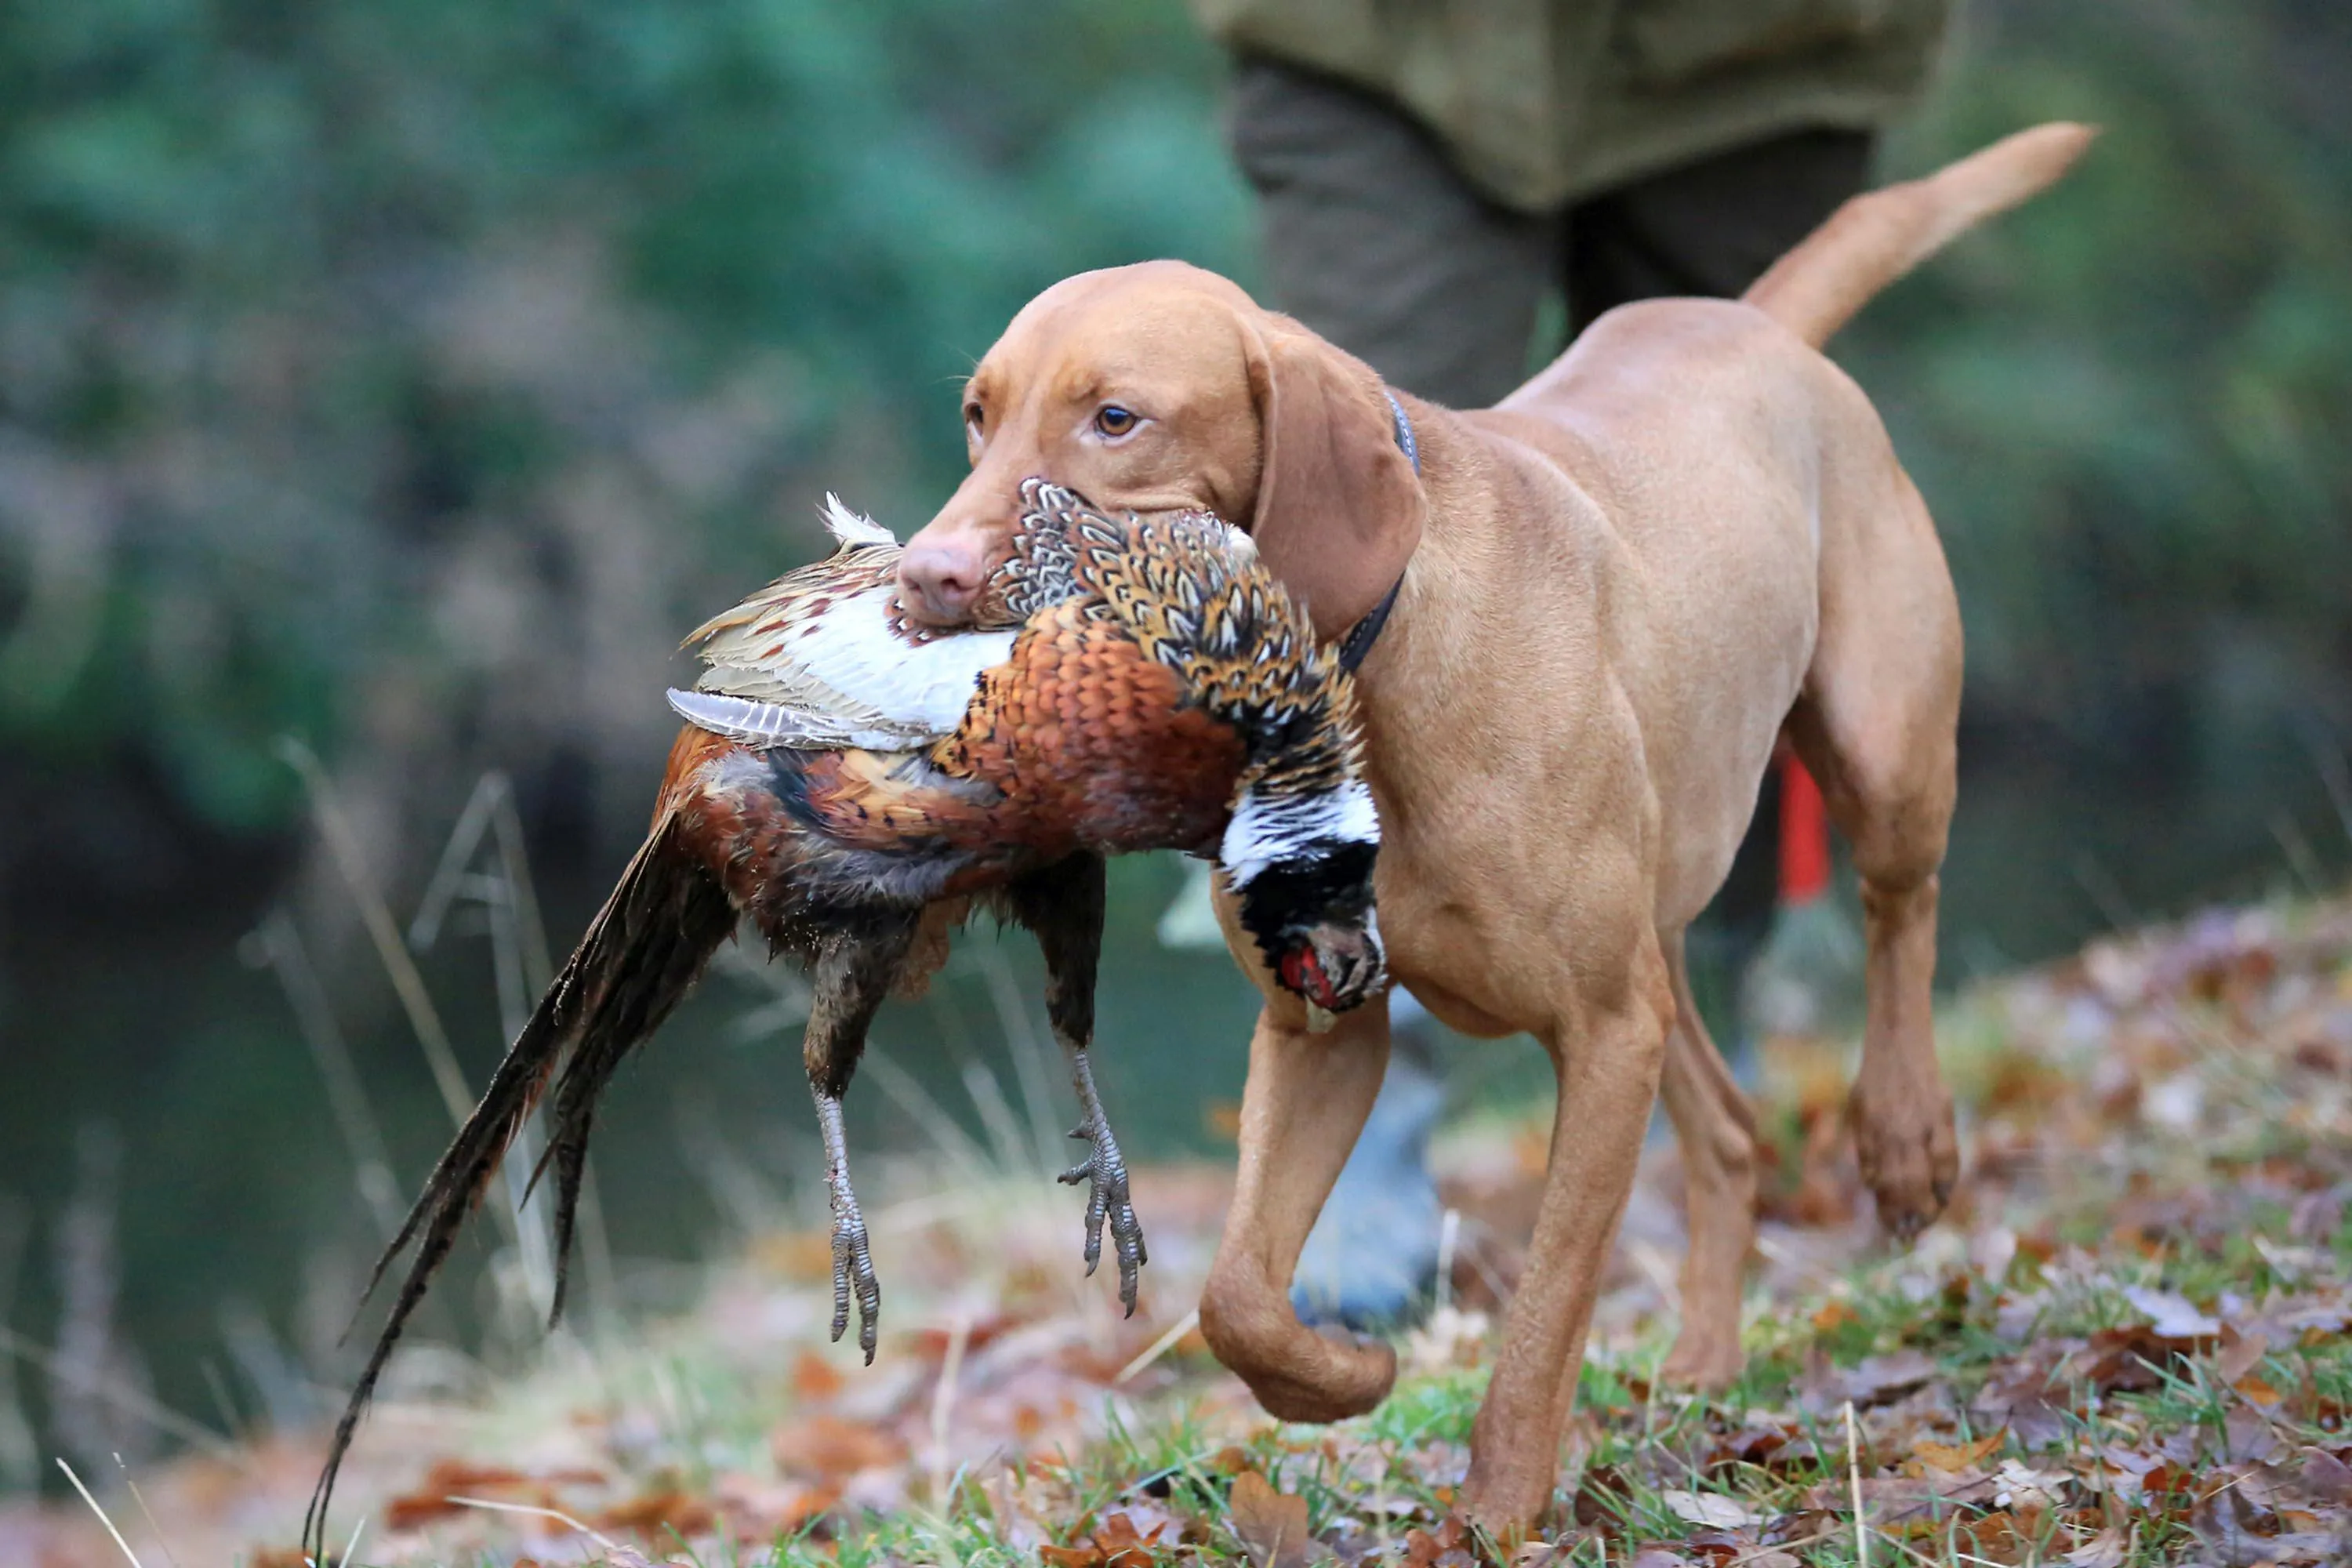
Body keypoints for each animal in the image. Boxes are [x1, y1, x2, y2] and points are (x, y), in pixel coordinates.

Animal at [889, 125, 2089, 1533]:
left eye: (1116, 418)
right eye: (977, 414)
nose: (923, 575)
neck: (1362, 691)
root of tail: (1748, 320)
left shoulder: (1602, 1036)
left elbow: (1546, 1310)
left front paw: (1502, 1510)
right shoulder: (1324, 1027)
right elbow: (1237, 1297)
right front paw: (1345, 1382)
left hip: (1881, 754)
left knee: (1902, 912)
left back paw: (1902, 1138)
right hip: (1655, 939)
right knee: (1731, 1128)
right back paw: (1703, 1363)